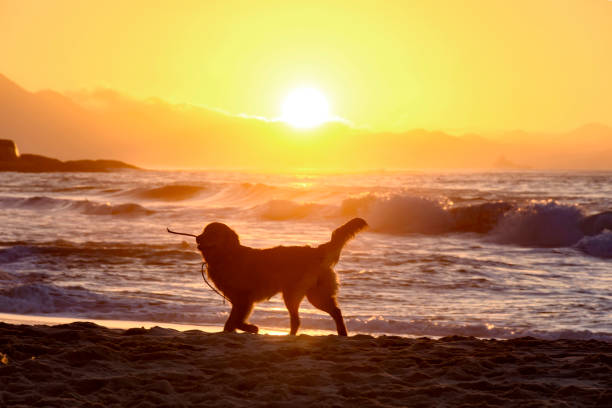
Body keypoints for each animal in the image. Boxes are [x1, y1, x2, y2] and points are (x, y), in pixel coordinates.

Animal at [197, 218, 368, 336]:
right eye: (204, 231)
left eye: (213, 232)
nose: (198, 238)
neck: (226, 256)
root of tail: (315, 251)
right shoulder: (238, 300)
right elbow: (231, 323)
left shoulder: (244, 299)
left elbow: (236, 321)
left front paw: (251, 328)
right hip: (313, 294)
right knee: (330, 313)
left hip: (298, 295)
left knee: (302, 319)